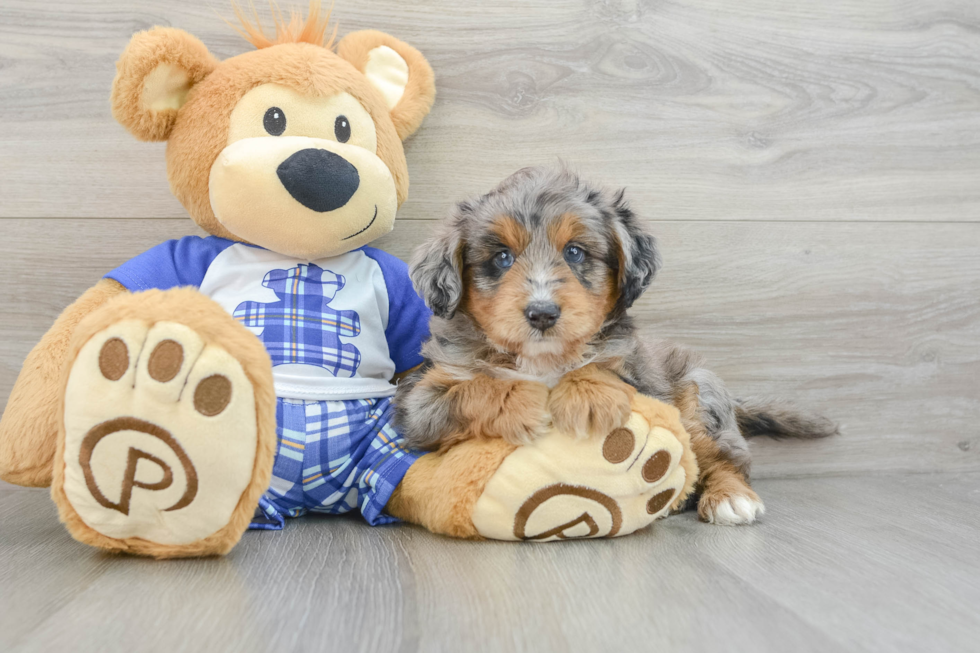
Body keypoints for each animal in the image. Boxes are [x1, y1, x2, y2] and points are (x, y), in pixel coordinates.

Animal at [394, 164, 840, 524]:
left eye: (575, 252)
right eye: (501, 258)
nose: (542, 313)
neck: (544, 361)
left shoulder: (642, 379)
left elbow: (601, 366)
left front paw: (589, 395)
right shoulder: (420, 405)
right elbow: (473, 388)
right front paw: (519, 399)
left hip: (699, 397)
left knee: (727, 459)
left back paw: (730, 498)